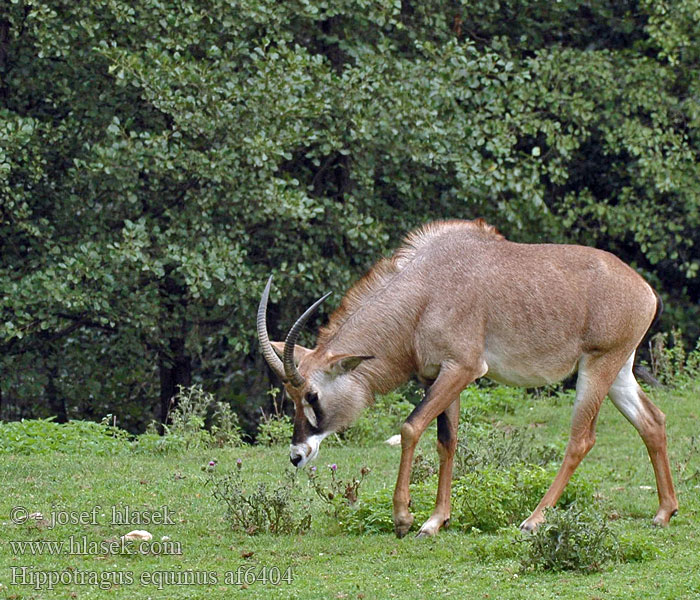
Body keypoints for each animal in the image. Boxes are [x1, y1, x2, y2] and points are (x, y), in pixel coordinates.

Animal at [258, 218, 680, 536]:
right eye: (291, 397)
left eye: (312, 395)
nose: (297, 455)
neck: (425, 290)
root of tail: (645, 290)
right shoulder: (439, 376)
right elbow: (447, 441)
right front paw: (435, 520)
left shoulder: (463, 368)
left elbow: (410, 427)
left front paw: (404, 518)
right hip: (618, 371)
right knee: (653, 421)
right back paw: (664, 512)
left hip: (597, 367)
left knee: (581, 439)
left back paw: (533, 520)